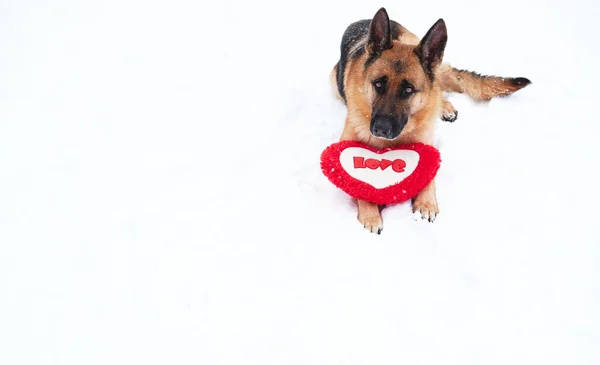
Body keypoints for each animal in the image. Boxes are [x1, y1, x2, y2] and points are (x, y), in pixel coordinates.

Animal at [330, 7, 532, 233]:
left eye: (408, 90)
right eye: (378, 84)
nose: (381, 129)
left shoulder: (427, 145)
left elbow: (429, 178)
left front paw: (426, 204)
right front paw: (371, 216)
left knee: (437, 85)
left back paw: (445, 106)